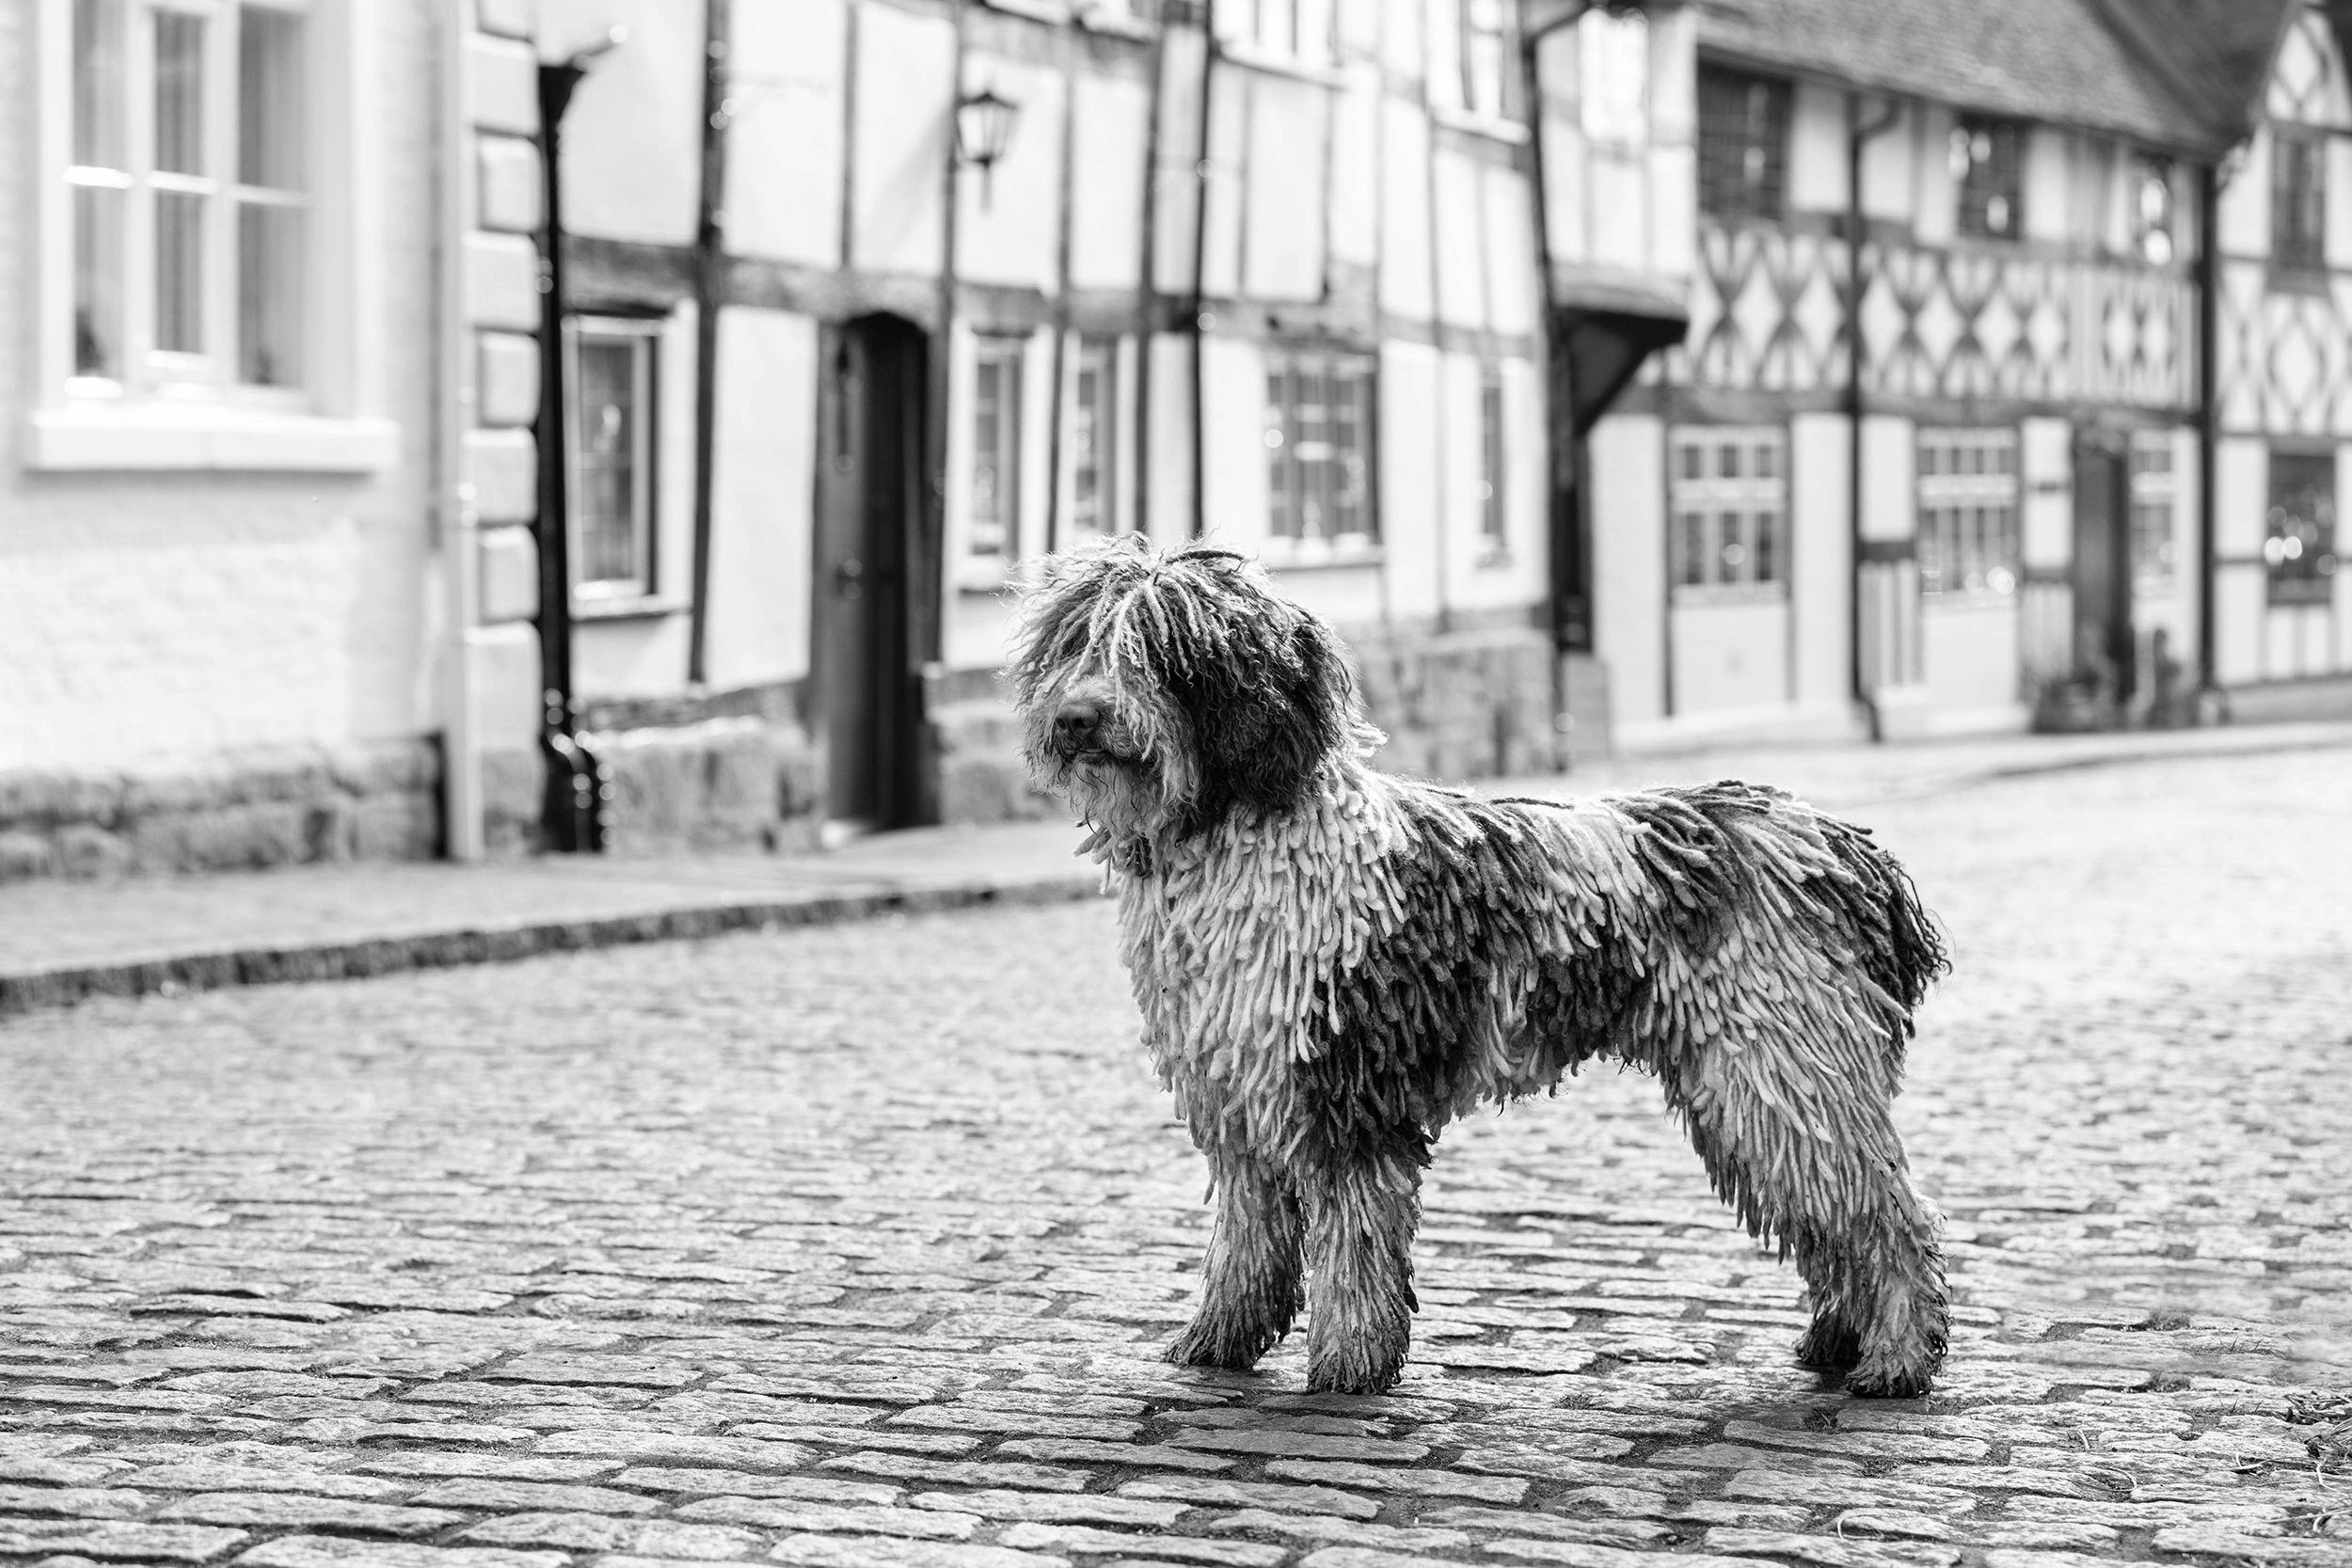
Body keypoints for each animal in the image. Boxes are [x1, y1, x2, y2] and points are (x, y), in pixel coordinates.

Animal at [1011, 535, 1947, 1401]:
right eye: (1075, 642)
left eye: (1160, 648)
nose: (1077, 719)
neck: (1246, 834)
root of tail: (1854, 856)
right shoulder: (1240, 1096)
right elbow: (1248, 1238)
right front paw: (1218, 1339)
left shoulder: (1351, 1086)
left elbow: (1354, 1241)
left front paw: (1349, 1364)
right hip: (1757, 1084)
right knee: (1836, 1219)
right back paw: (1841, 1341)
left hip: (1781, 1070)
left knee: (1888, 1216)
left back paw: (1897, 1358)